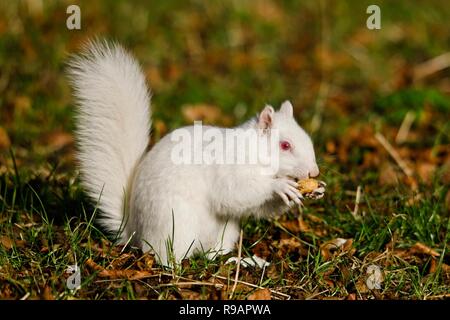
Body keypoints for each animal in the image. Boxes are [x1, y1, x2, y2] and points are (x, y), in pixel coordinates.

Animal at [67, 40, 320, 264]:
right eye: (285, 145)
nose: (314, 172)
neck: (253, 149)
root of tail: (135, 232)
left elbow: (257, 207)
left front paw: (312, 191)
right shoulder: (228, 168)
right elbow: (238, 192)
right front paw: (279, 186)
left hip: (225, 230)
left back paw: (226, 260)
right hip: (175, 224)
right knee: (165, 256)